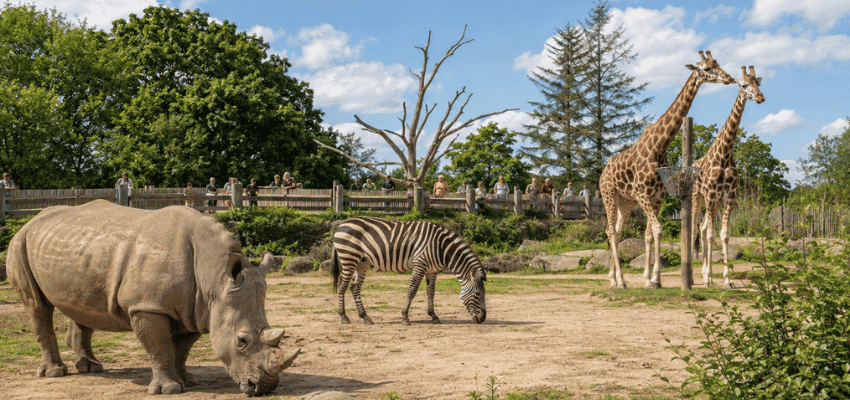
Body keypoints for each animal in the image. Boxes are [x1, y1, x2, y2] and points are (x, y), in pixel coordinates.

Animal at [7, 200, 299, 396]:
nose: (265, 388)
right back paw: (55, 373)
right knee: (37, 307)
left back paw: (91, 368)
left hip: (77, 250)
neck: (214, 278)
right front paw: (169, 390)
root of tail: (30, 221)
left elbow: (181, 349)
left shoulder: (196, 309)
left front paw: (188, 381)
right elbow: (160, 347)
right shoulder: (148, 306)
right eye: (241, 341)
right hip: (19, 242)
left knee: (82, 302)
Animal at [331, 216, 487, 325]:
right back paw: (344, 317)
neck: (441, 248)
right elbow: (412, 290)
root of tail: (341, 225)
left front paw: (434, 316)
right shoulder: (420, 265)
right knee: (342, 285)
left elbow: (431, 292)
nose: (483, 318)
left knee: (354, 287)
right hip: (349, 257)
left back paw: (365, 317)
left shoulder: (432, 270)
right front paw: (405, 317)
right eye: (478, 294)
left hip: (362, 262)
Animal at [600, 51, 735, 289]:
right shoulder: (642, 193)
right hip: (609, 195)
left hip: (625, 201)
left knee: (616, 232)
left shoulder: (657, 196)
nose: (728, 77)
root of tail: (601, 174)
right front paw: (653, 279)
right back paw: (621, 282)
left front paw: (653, 279)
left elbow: (650, 233)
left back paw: (613, 278)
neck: (659, 146)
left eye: (718, 63)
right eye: (706, 68)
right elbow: (658, 229)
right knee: (610, 231)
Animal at [691, 66, 764, 289]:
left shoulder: (729, 197)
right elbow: (711, 234)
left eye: (758, 84)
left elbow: (723, 235)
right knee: (694, 230)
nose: (760, 97)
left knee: (702, 228)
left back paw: (704, 272)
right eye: (744, 85)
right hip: (697, 197)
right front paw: (709, 278)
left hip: (713, 202)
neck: (725, 154)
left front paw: (727, 279)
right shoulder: (711, 195)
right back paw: (695, 276)